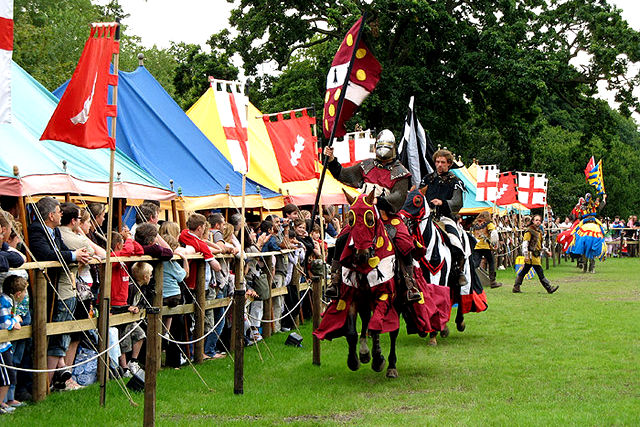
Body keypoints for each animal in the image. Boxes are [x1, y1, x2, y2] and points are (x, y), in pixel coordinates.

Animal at [314, 191, 400, 378]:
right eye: (351, 220)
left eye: (370, 219)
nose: (361, 254)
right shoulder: (351, 297)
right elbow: (352, 332)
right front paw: (354, 360)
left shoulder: (383, 295)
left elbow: (377, 327)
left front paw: (378, 360)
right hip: (364, 300)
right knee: (367, 321)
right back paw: (364, 352)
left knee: (392, 332)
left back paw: (391, 365)